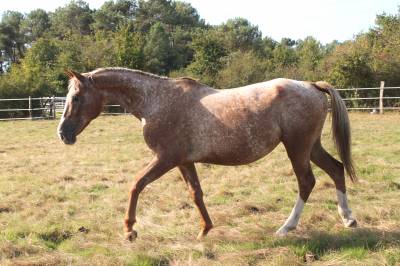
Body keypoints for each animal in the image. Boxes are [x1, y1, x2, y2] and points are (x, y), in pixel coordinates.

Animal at [57, 67, 358, 241]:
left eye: (76, 98)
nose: (62, 133)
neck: (156, 101)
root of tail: (312, 85)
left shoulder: (165, 159)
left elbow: (136, 185)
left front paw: (130, 229)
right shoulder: (184, 162)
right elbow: (196, 193)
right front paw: (205, 229)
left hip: (297, 147)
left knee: (307, 182)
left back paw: (287, 227)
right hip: (311, 146)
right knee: (336, 169)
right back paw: (348, 219)